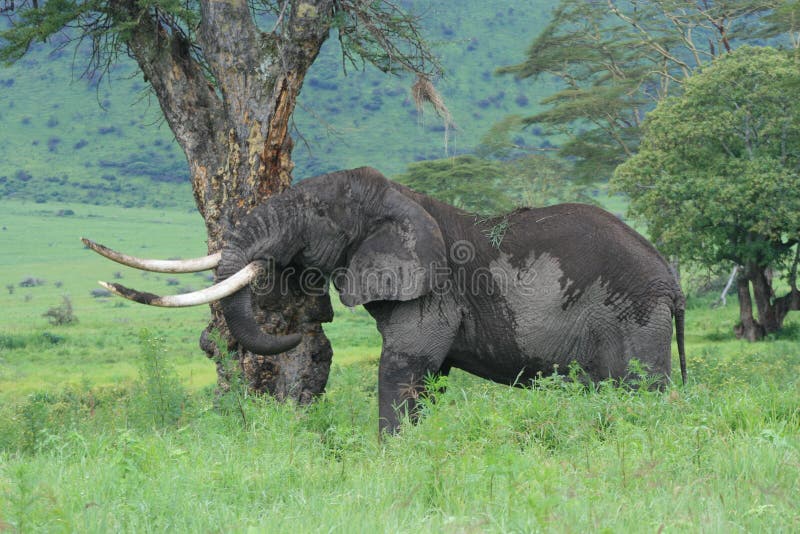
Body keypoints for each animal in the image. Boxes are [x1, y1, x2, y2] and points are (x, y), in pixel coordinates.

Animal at [86, 166, 688, 436]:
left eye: (315, 213)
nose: (296, 329)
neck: (398, 196)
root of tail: (672, 279)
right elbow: (429, 375)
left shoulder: (435, 287)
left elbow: (405, 364)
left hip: (634, 316)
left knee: (639, 387)